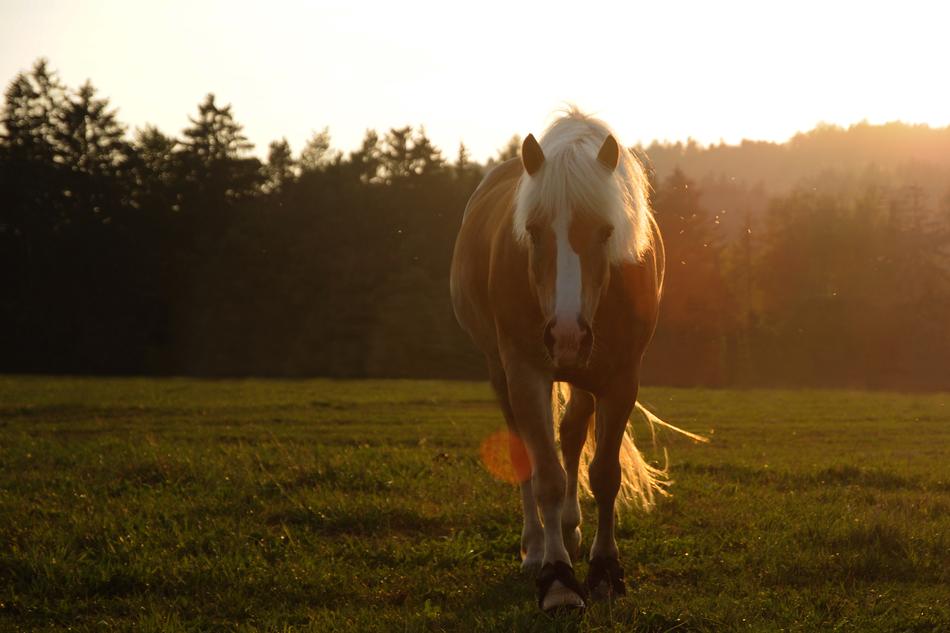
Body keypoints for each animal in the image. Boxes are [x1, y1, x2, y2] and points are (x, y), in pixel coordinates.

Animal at [450, 109, 685, 611]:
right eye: (534, 231)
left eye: (606, 231)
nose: (566, 334)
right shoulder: (525, 374)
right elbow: (547, 478)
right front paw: (558, 578)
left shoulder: (620, 378)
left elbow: (604, 474)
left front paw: (605, 569)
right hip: (500, 371)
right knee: (525, 453)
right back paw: (537, 546)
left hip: (583, 372)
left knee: (573, 432)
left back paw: (571, 530)